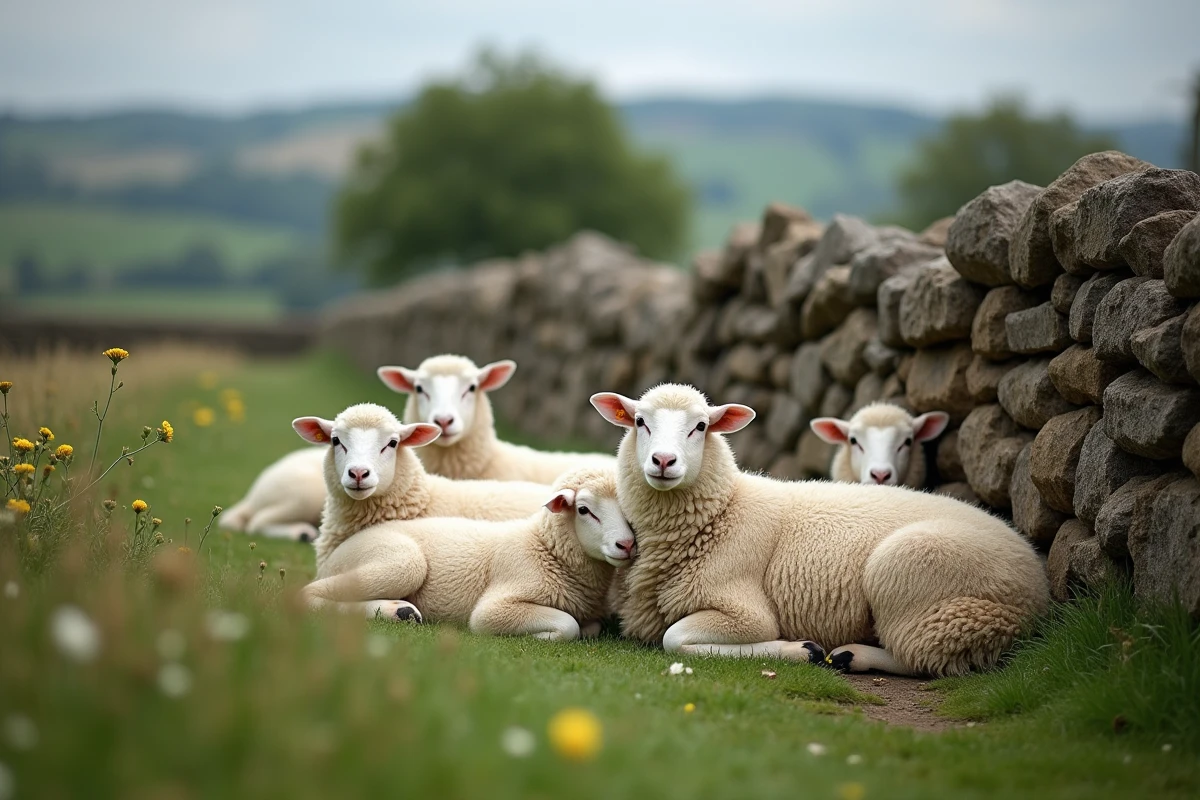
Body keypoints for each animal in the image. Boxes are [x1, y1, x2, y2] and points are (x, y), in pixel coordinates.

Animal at [300, 466, 636, 639]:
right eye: (584, 510)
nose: (627, 545)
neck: (545, 546)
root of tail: (338, 551)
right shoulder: (497, 605)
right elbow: (569, 626)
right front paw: (543, 636)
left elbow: (589, 627)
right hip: (401, 562)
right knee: (308, 595)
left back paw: (401, 612)